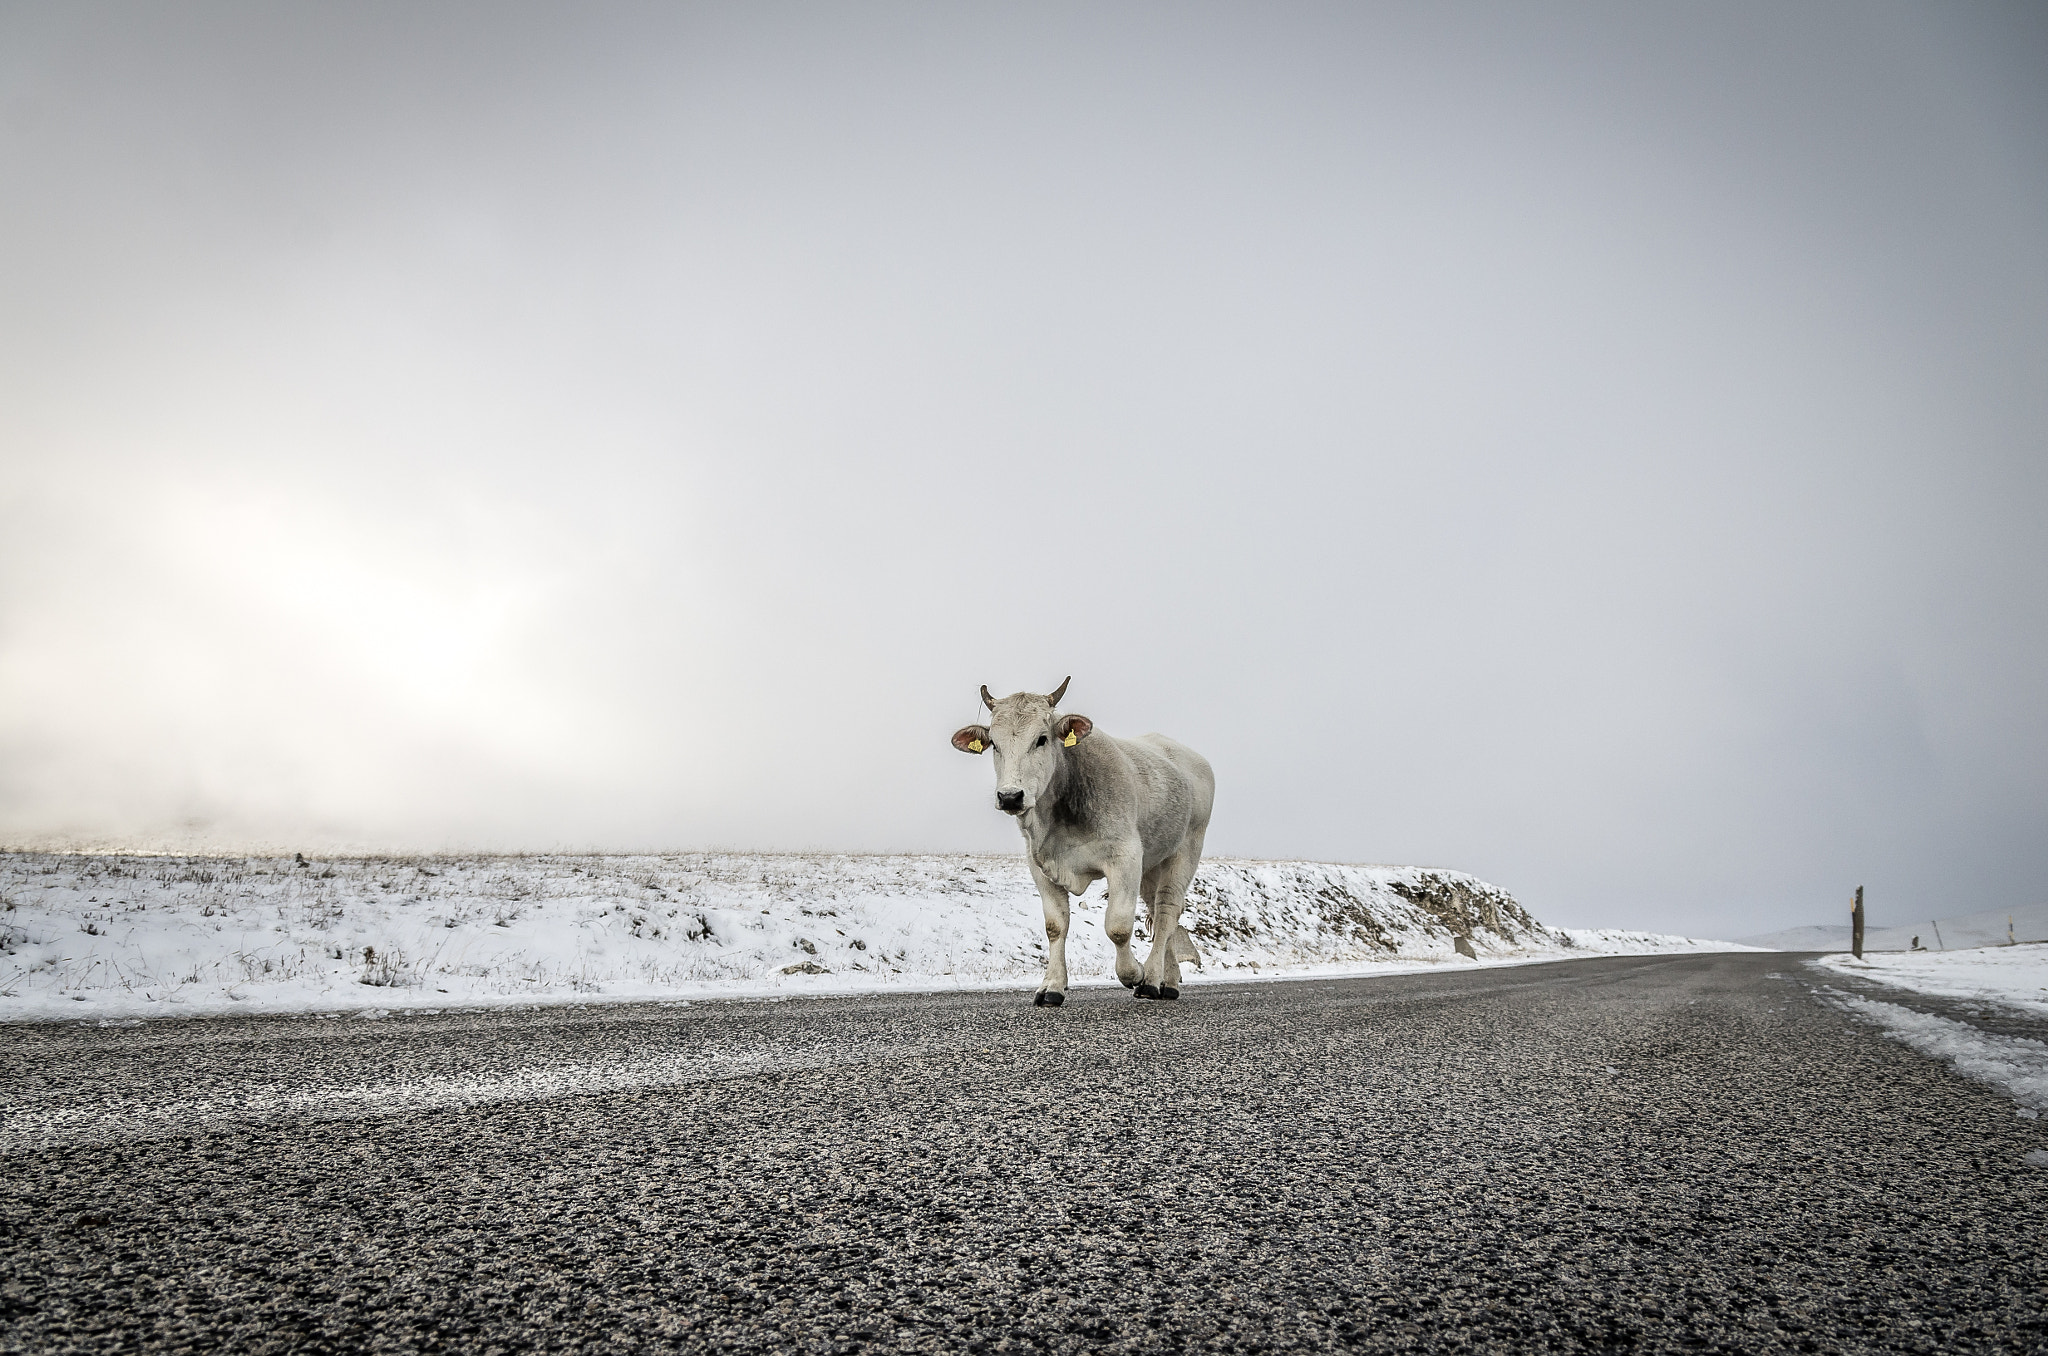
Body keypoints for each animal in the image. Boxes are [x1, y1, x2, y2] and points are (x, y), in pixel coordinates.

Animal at [946, 680, 1204, 1007]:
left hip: (1185, 853)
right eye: (994, 743)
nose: (1010, 796)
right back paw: (1168, 981)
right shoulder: (1040, 865)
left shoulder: (1126, 858)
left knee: (1167, 913)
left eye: (1042, 739)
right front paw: (1052, 986)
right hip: (1153, 864)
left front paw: (1134, 973)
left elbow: (1118, 926)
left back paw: (1152, 980)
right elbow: (1056, 926)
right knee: (1159, 916)